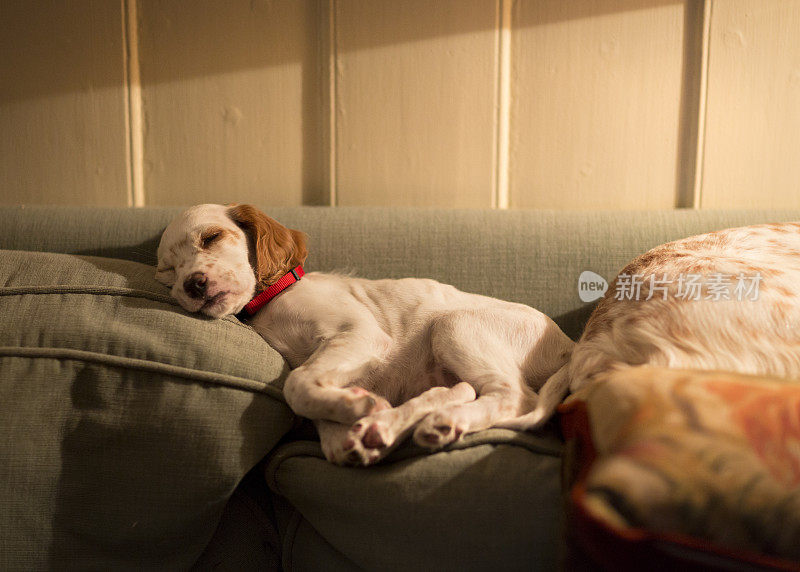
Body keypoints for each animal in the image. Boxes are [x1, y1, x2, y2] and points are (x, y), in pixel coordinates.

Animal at [155, 203, 576, 466]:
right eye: (166, 272)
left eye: (211, 238)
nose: (192, 285)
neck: (274, 300)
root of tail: (570, 348)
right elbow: (315, 411)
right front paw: (351, 420)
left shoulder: (359, 335)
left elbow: (296, 385)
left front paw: (359, 407)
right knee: (466, 389)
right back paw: (399, 425)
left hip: (453, 324)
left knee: (515, 397)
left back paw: (433, 421)